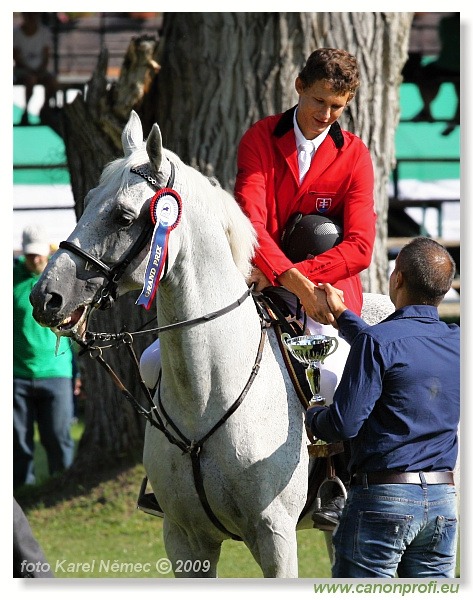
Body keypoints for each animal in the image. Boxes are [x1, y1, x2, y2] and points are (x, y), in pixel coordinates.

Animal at [27, 111, 392, 576]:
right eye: (89, 200)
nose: (46, 298)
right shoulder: (185, 539)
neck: (206, 392)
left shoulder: (275, 537)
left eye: (124, 218)